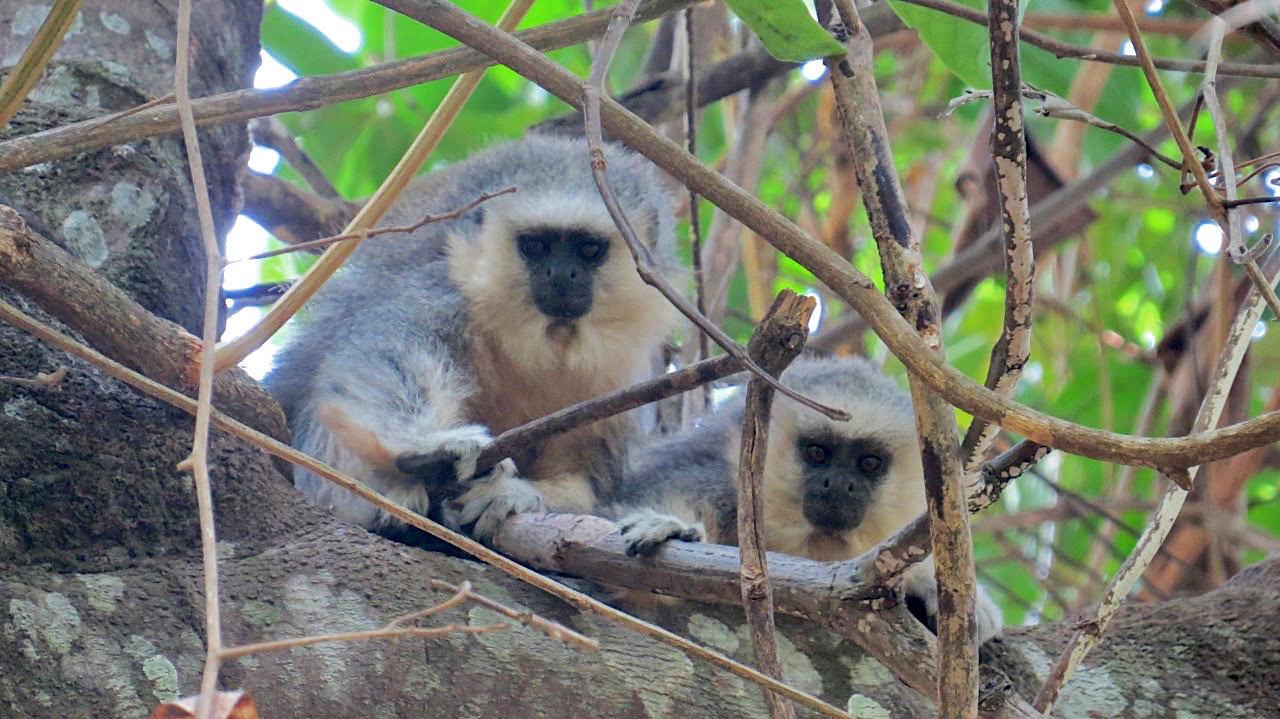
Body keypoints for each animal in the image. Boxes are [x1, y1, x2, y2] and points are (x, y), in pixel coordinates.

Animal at [266, 134, 686, 537]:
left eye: (588, 250)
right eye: (535, 246)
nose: (562, 276)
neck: (545, 341)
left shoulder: (622, 378)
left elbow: (590, 480)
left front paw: (516, 494)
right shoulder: (442, 293)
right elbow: (383, 358)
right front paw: (427, 445)